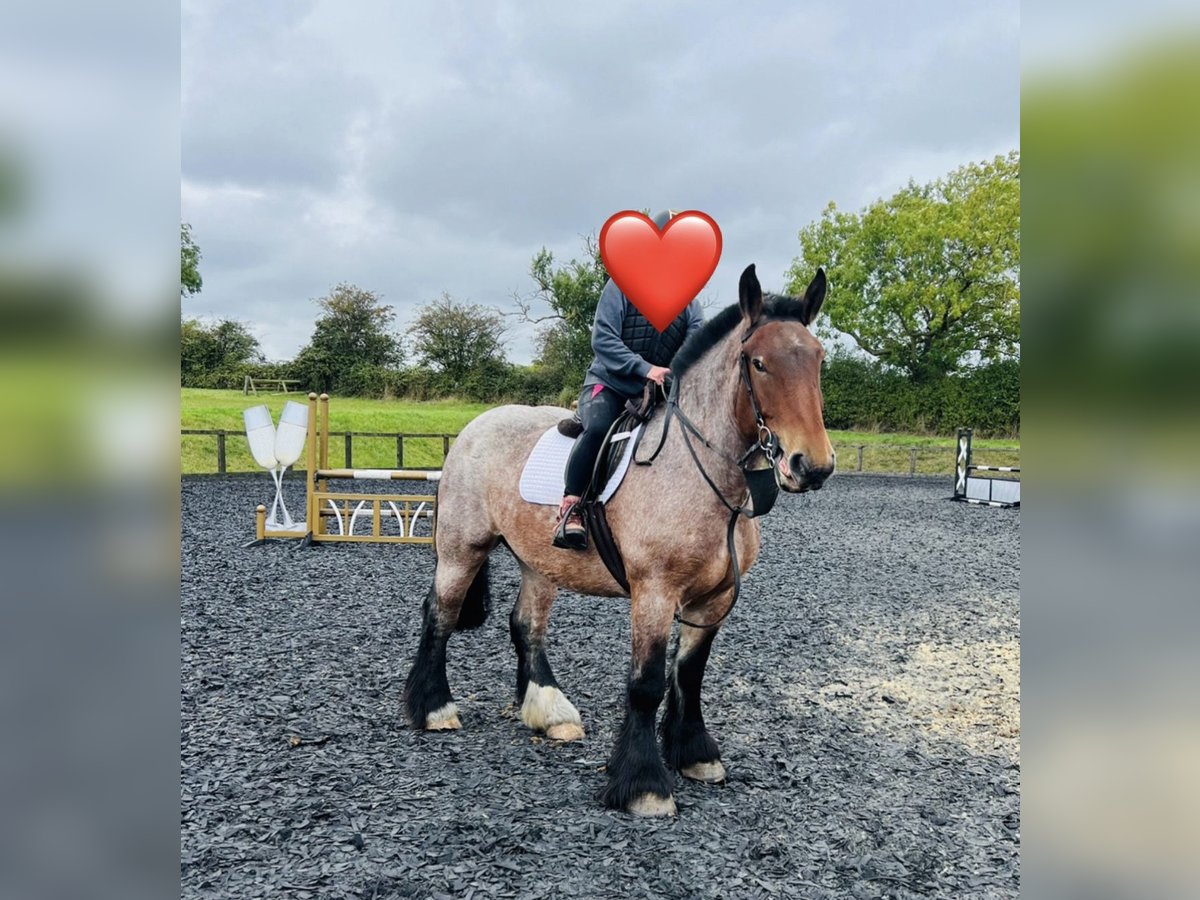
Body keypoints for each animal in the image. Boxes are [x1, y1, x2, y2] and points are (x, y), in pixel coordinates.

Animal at [403, 262, 835, 816]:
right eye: (758, 363)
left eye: (818, 359)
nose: (811, 466)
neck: (698, 470)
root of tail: (472, 430)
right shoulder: (654, 591)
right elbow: (647, 683)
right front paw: (644, 784)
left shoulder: (715, 599)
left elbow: (689, 674)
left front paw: (695, 755)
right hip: (463, 549)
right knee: (441, 614)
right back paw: (434, 709)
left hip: (539, 563)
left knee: (526, 626)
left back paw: (550, 711)